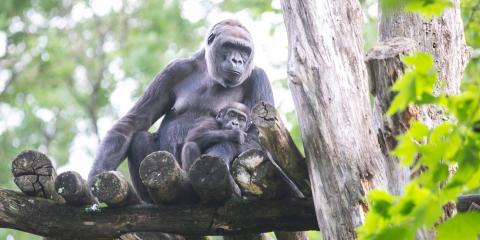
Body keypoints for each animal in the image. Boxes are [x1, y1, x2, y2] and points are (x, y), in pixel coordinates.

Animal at [87, 19, 274, 202]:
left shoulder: (259, 76)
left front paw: (223, 152)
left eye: (245, 50)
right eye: (229, 45)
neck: (209, 73)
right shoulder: (174, 69)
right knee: (140, 137)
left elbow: (255, 137)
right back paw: (149, 199)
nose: (237, 61)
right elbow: (136, 120)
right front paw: (96, 174)